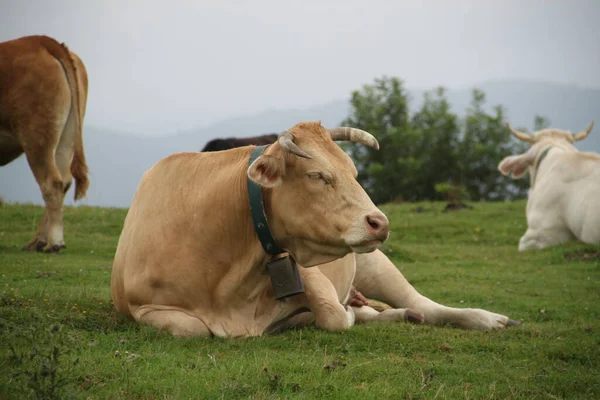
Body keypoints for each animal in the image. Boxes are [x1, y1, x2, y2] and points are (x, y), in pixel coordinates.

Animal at [0, 35, 89, 253]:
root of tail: (43, 41)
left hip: (37, 136)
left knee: (51, 182)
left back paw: (53, 242)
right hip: (66, 137)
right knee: (64, 180)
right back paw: (39, 241)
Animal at [113, 121, 520, 338]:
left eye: (354, 173)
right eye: (318, 176)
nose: (380, 222)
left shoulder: (305, 271)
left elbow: (333, 314)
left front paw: (340, 314)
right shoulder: (141, 307)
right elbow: (192, 327)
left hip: (375, 263)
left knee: (427, 305)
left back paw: (487, 319)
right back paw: (394, 315)